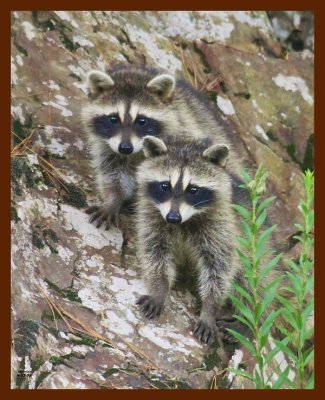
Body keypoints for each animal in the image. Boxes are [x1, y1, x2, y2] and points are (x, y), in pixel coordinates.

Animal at [80, 65, 235, 228]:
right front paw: (113, 200)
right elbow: (113, 174)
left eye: (142, 121)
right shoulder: (108, 147)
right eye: (113, 119)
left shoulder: (184, 130)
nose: (125, 148)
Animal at [134, 134, 246, 344]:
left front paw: (210, 307)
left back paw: (245, 320)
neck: (185, 221)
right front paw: (160, 289)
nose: (173, 217)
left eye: (193, 190)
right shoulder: (152, 218)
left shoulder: (221, 227)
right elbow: (155, 254)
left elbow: (219, 268)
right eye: (165, 186)